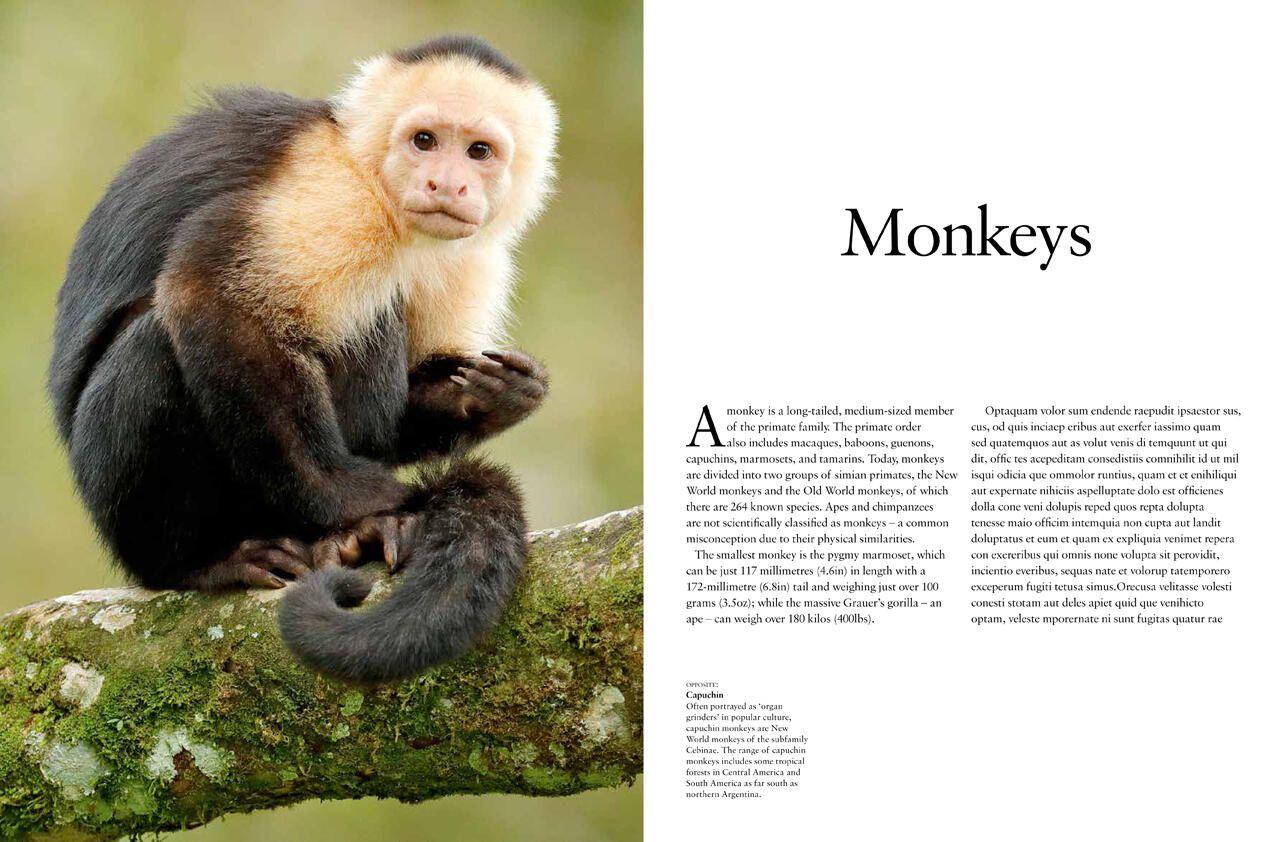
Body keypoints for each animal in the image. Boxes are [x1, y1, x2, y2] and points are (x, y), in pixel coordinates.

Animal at [46, 35, 559, 683]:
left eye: (479, 151)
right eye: (424, 141)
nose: (447, 184)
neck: (378, 190)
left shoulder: (473, 256)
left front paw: (492, 399)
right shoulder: (332, 196)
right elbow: (211, 297)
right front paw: (359, 502)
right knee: (159, 345)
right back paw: (203, 561)